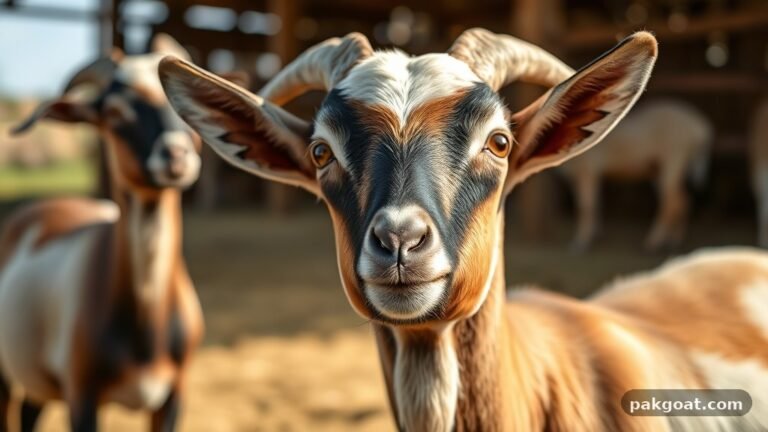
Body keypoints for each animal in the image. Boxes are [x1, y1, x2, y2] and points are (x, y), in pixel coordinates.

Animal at [559, 99, 712, 251]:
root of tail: (700, 128)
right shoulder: (584, 176)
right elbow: (596, 203)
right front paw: (595, 234)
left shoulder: (587, 170)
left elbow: (585, 206)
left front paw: (580, 243)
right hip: (659, 169)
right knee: (682, 200)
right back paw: (674, 241)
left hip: (674, 160)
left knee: (671, 202)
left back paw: (655, 242)